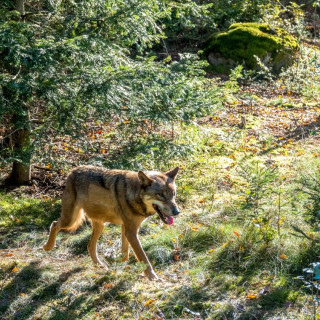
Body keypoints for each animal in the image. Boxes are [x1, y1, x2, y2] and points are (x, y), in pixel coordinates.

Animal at [42, 165, 180, 280]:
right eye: (160, 195)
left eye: (173, 194)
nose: (176, 211)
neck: (133, 195)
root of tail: (73, 170)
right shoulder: (130, 231)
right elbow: (143, 257)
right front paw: (152, 277)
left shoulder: (126, 228)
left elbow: (125, 254)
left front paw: (114, 259)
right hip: (70, 220)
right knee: (54, 224)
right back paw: (48, 247)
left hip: (100, 226)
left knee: (90, 246)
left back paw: (99, 265)